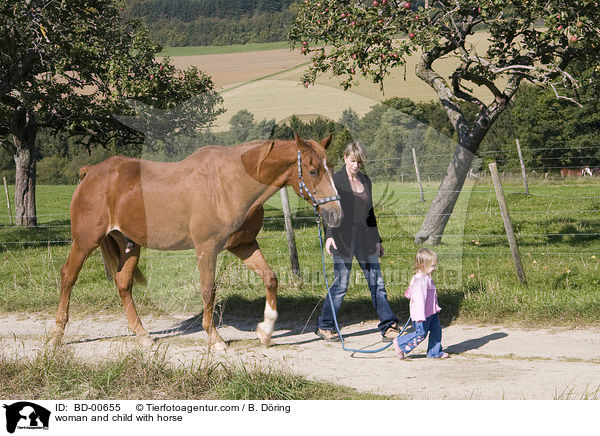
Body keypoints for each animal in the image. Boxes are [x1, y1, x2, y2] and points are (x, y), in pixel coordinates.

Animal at [52, 135, 342, 350]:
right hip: (85, 241)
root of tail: (91, 172)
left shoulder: (244, 245)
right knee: (68, 277)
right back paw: (57, 335)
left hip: (130, 244)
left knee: (123, 284)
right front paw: (215, 339)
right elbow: (208, 290)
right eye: (313, 171)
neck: (230, 183)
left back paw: (143, 336)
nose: (335, 214)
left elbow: (270, 278)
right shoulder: (207, 248)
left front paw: (266, 331)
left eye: (331, 168)